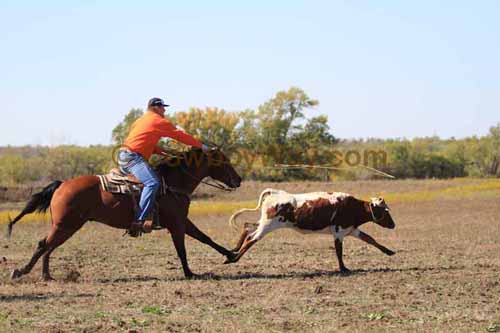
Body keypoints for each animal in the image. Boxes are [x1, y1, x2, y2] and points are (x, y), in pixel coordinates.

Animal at [7, 147, 242, 278]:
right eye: (223, 161)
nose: (238, 180)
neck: (172, 182)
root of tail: (63, 184)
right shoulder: (176, 224)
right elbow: (182, 249)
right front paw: (189, 273)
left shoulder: (183, 221)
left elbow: (205, 238)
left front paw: (231, 255)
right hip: (66, 225)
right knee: (43, 245)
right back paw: (22, 272)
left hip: (66, 226)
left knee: (48, 246)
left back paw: (46, 275)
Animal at [226, 188, 394, 272]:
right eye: (385, 211)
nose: (393, 225)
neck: (352, 207)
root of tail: (275, 193)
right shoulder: (339, 232)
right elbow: (339, 251)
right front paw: (343, 268)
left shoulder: (351, 229)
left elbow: (370, 239)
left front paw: (389, 251)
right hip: (268, 225)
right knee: (252, 238)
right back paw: (233, 258)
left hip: (263, 223)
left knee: (247, 227)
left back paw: (233, 251)